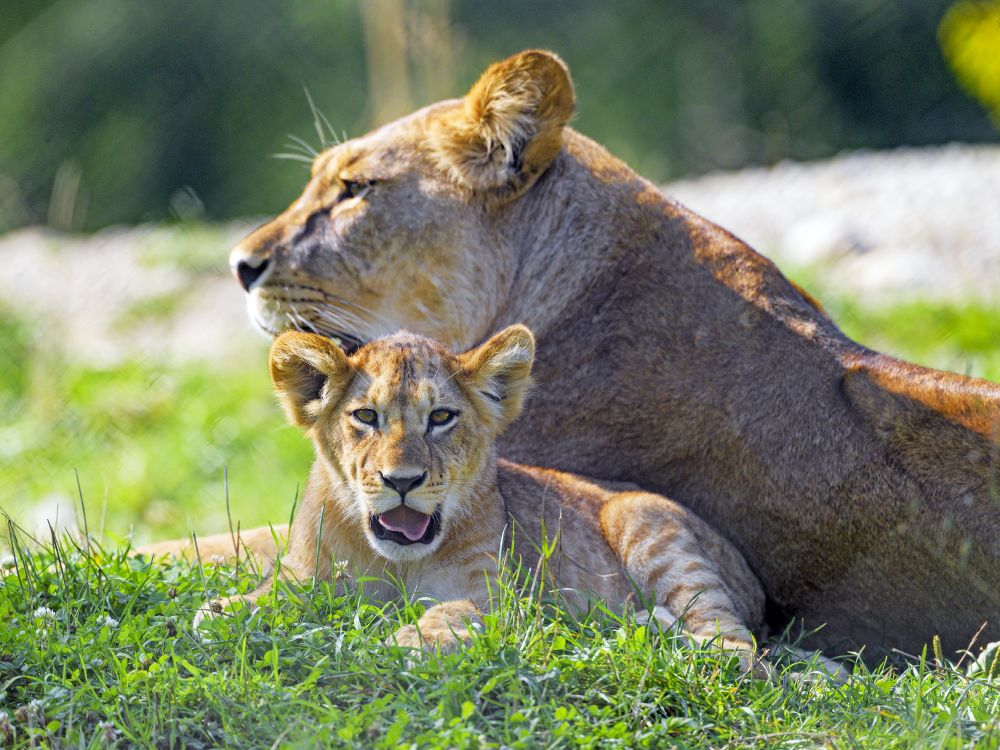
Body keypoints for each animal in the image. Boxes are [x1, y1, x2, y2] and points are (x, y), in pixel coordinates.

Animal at [182, 325, 768, 675]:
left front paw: (409, 642)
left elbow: (451, 613)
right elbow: (258, 600)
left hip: (646, 522)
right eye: (366, 416)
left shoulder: (497, 596)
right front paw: (226, 610)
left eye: (441, 417)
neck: (396, 562)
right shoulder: (308, 574)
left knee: (741, 649)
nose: (401, 480)